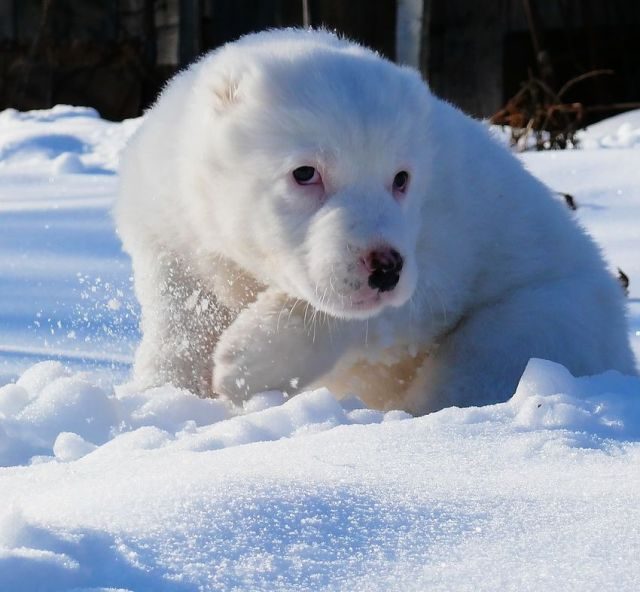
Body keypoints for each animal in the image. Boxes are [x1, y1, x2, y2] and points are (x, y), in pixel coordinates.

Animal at [115, 28, 636, 416]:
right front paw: (160, 400)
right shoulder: (170, 234)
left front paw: (246, 362)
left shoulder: (441, 244)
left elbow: (372, 311)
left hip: (536, 323)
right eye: (305, 173)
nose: (385, 268)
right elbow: (178, 324)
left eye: (401, 178)